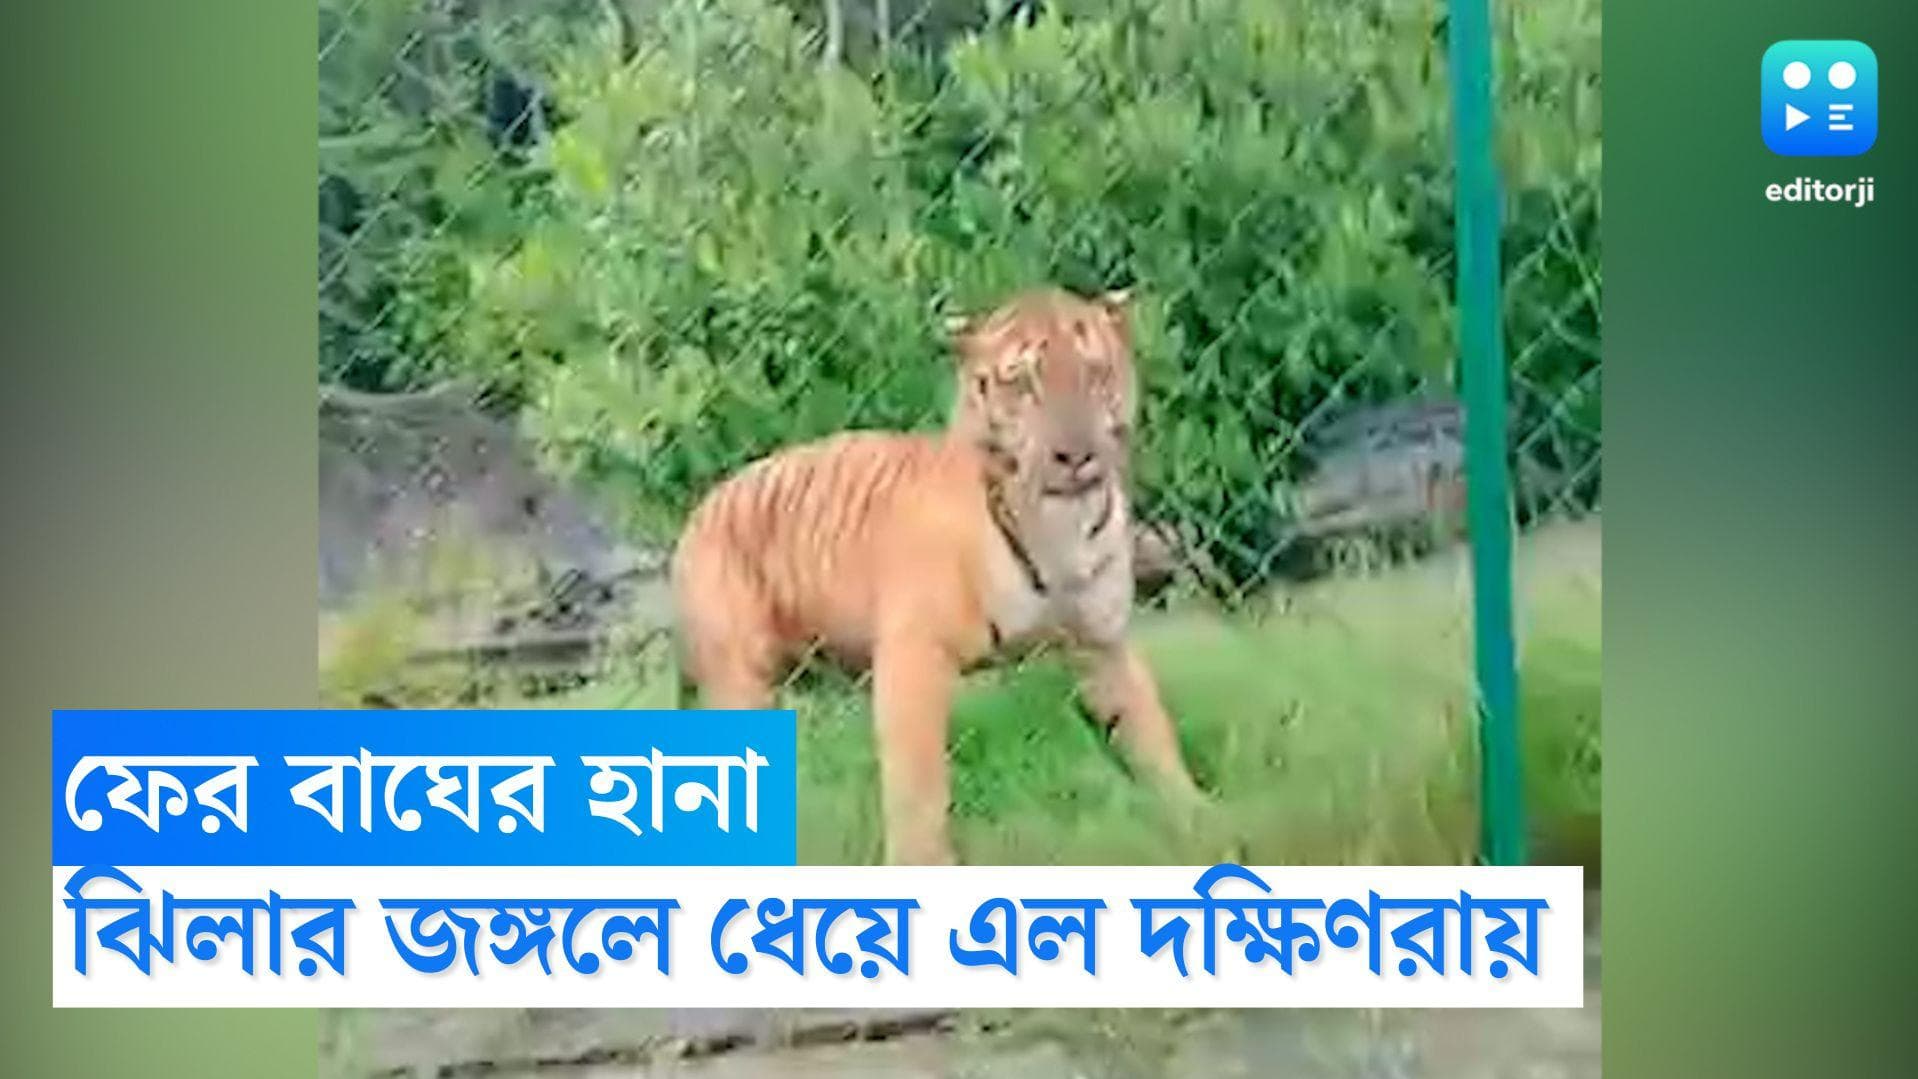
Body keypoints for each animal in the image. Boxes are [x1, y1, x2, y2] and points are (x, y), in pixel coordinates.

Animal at [670, 286, 1201, 865]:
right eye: (1022, 382)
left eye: (1093, 372)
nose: (1074, 454)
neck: (1059, 523)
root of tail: (706, 505)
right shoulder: (914, 654)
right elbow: (918, 781)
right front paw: (923, 862)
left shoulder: (1102, 644)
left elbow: (1153, 734)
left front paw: (1199, 817)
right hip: (741, 680)